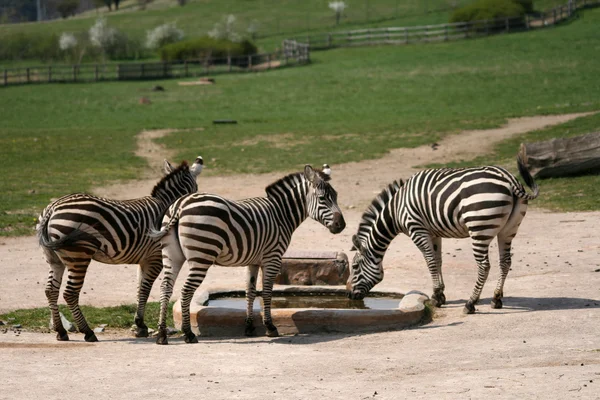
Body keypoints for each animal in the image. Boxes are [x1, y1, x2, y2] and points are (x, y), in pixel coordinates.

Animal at [36, 156, 204, 340]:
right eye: (196, 189)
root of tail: (52, 208)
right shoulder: (155, 257)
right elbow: (145, 288)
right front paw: (140, 325)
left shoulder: (145, 259)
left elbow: (140, 289)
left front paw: (139, 325)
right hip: (79, 256)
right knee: (70, 293)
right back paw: (88, 332)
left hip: (54, 258)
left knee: (50, 290)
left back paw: (61, 331)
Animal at [151, 164, 346, 346]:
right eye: (322, 198)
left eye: (336, 196)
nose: (342, 225)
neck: (281, 215)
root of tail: (180, 204)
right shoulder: (272, 258)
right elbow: (266, 292)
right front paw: (270, 327)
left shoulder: (253, 261)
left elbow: (250, 291)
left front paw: (249, 327)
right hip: (201, 257)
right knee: (185, 291)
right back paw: (188, 334)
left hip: (171, 255)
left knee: (165, 288)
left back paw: (161, 335)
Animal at [346, 156, 540, 316]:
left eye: (355, 266)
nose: (347, 294)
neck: (395, 211)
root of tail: (508, 178)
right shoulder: (433, 233)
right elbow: (438, 261)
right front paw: (440, 294)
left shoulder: (417, 229)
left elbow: (430, 262)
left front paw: (436, 297)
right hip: (508, 229)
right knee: (505, 262)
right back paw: (496, 299)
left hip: (479, 227)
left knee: (484, 266)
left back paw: (470, 303)